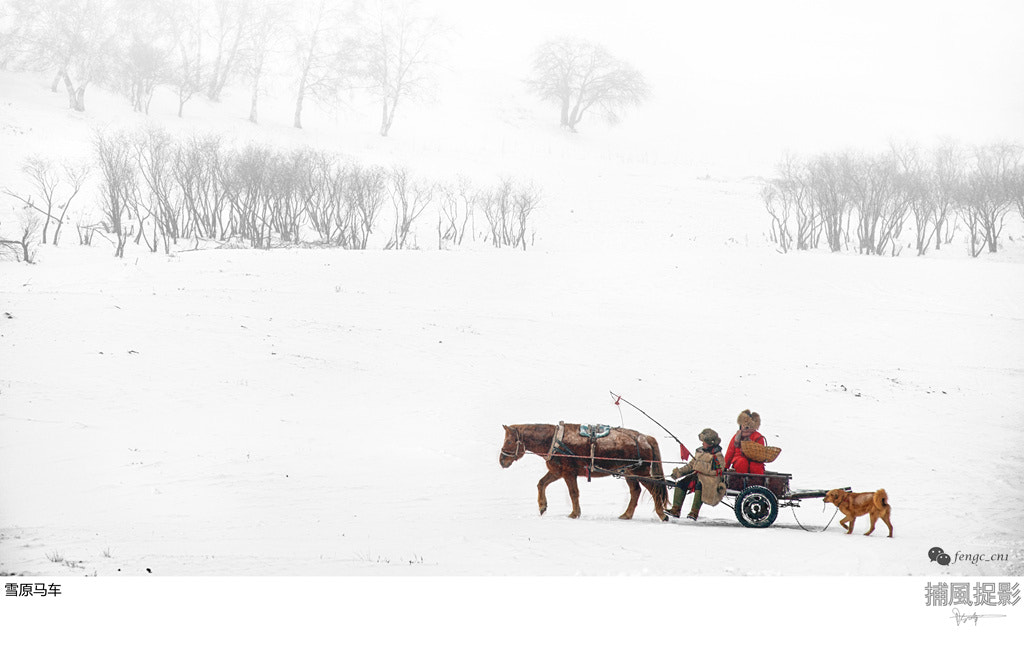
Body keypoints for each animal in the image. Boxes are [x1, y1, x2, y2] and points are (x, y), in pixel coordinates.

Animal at [499, 423, 669, 520]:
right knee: (636, 491)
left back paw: (661, 514)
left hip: (641, 472)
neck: (555, 441)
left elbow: (573, 493)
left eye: (509, 441)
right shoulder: (557, 472)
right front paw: (542, 506)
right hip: (629, 473)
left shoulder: (568, 473)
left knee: (655, 489)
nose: (502, 461)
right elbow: (541, 484)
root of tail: (645, 438)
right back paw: (627, 515)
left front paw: (574, 514)